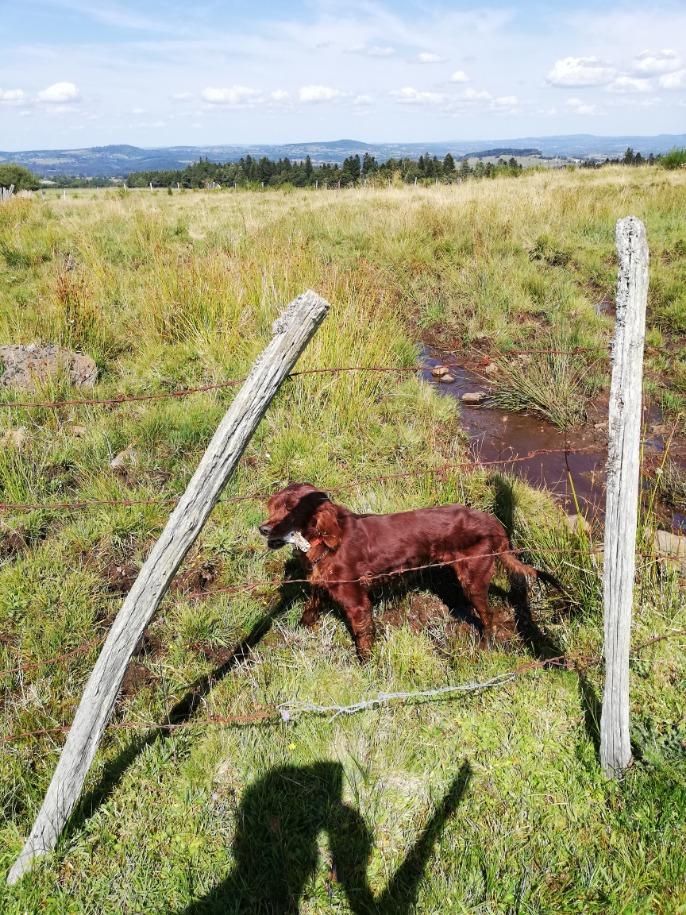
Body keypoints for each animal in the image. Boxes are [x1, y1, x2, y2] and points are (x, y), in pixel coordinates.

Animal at [260, 484, 560, 660]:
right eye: (273, 506)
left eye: (291, 509)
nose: (263, 529)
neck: (325, 540)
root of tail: (494, 522)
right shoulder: (321, 586)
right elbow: (309, 611)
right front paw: (300, 631)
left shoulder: (356, 600)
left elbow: (362, 635)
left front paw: (367, 664)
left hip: (473, 579)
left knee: (489, 616)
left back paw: (485, 646)